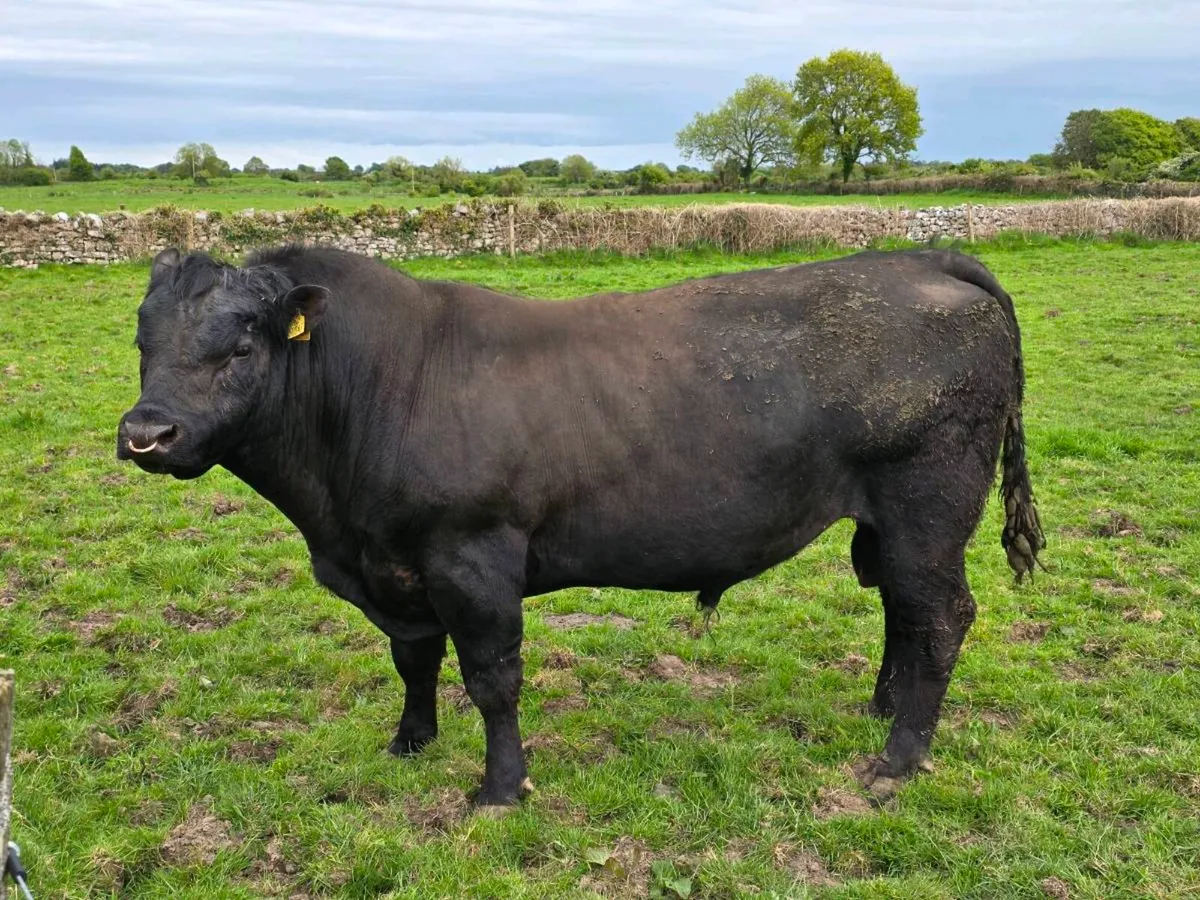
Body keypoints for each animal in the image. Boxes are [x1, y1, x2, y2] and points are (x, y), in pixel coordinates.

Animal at [117, 244, 1044, 807]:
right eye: (142, 343)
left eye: (241, 348)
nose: (145, 433)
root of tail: (919, 258)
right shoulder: (398, 572)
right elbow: (414, 661)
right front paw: (410, 743)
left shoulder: (474, 559)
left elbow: (491, 679)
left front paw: (500, 788)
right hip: (891, 522)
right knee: (902, 610)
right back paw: (880, 706)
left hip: (930, 504)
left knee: (940, 616)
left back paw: (898, 758)